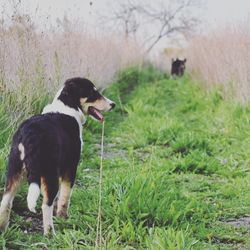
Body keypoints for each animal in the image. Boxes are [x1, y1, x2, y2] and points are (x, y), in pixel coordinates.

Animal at [0, 77, 115, 234]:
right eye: (93, 93)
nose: (113, 105)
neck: (68, 106)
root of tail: (30, 134)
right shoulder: (70, 166)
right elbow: (65, 195)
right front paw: (63, 218)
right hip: (49, 172)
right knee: (45, 204)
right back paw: (50, 233)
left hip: (15, 170)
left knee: (6, 201)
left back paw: (3, 230)